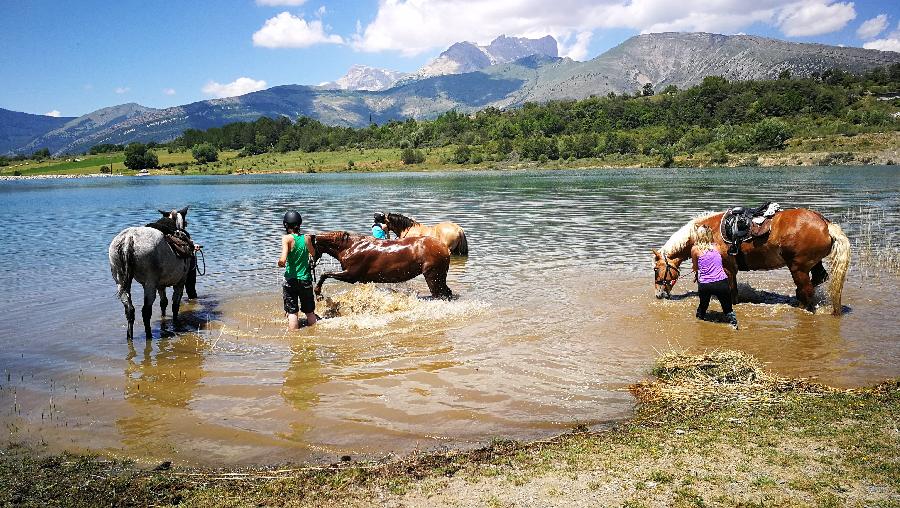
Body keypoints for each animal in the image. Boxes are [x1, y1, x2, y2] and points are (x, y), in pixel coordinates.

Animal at [109, 206, 193, 342]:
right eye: (186, 223)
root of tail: (128, 239)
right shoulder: (180, 282)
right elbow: (175, 305)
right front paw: (175, 323)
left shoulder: (160, 285)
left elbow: (164, 303)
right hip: (150, 284)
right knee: (146, 311)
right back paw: (149, 335)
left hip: (120, 281)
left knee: (129, 310)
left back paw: (130, 337)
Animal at [312, 232, 454, 300]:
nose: (311, 263)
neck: (349, 246)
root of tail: (444, 247)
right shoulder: (362, 279)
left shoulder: (350, 275)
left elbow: (324, 274)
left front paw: (318, 293)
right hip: (440, 276)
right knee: (447, 292)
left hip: (432, 276)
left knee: (439, 294)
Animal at [652, 208, 852, 316]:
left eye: (655, 269)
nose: (658, 294)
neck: (709, 233)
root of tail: (825, 224)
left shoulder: (728, 269)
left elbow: (731, 292)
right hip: (813, 264)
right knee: (817, 280)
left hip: (798, 268)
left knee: (807, 290)